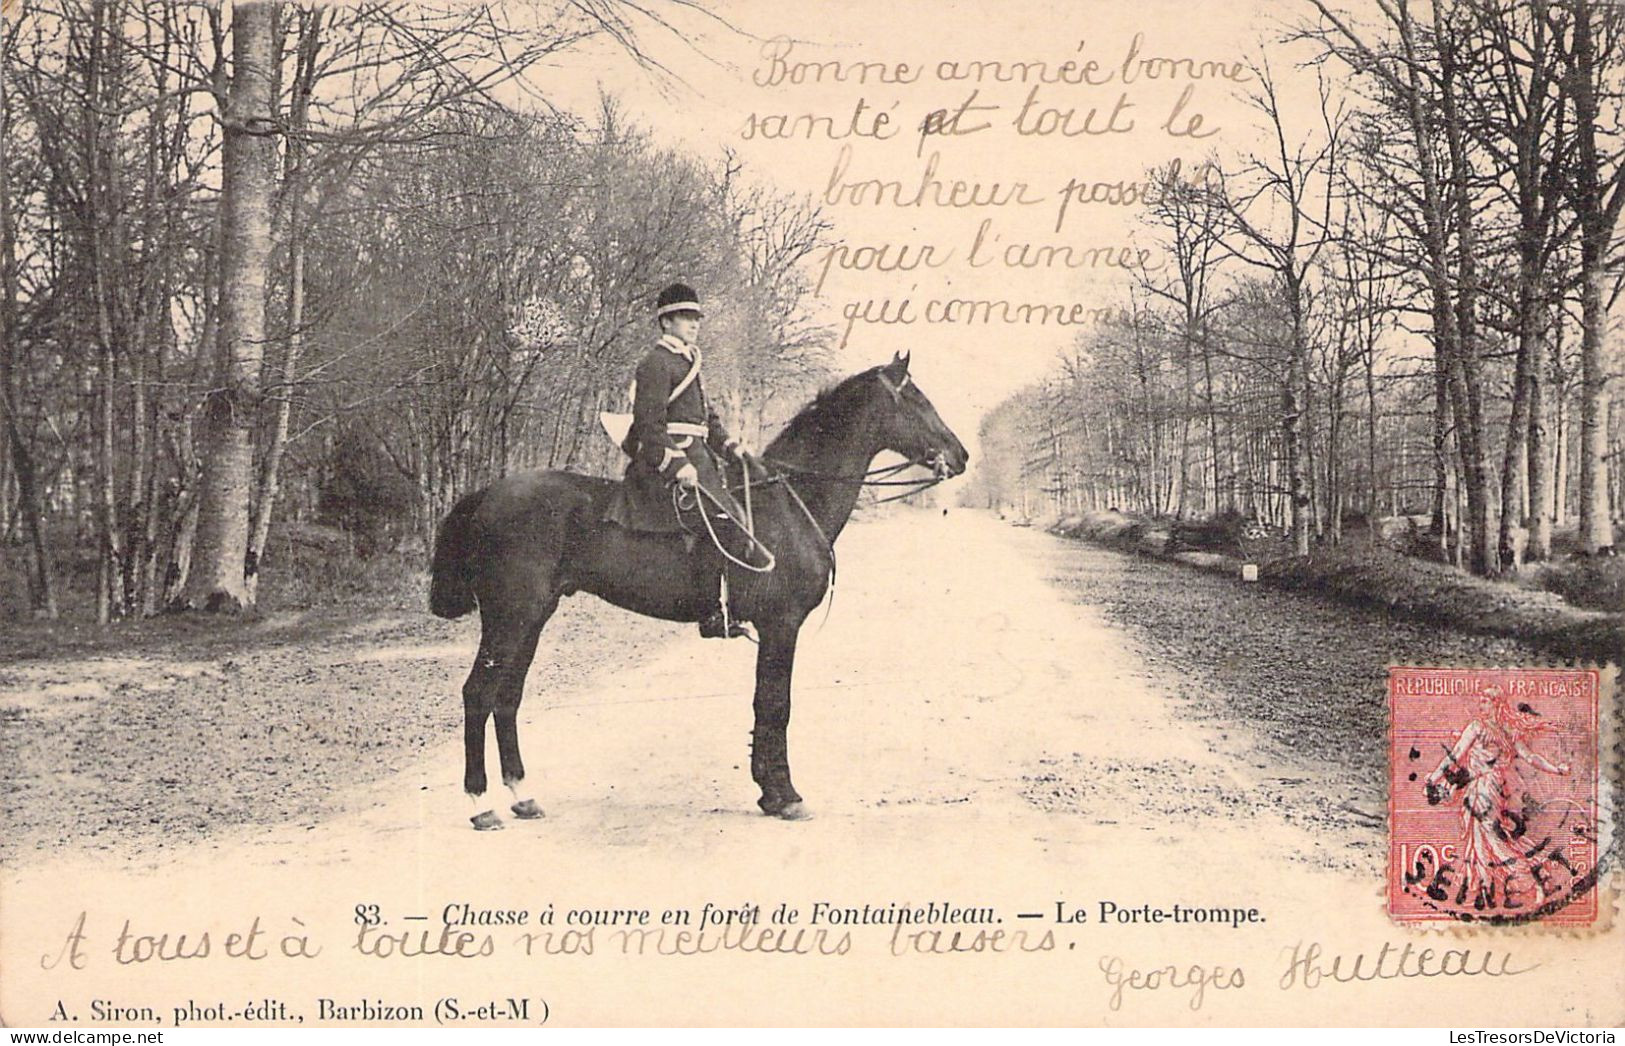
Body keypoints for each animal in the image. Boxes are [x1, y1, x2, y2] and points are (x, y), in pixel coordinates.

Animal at [429, 355, 962, 828]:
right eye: (916, 398)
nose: (960, 455)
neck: (791, 501)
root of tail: (488, 494)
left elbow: (764, 702)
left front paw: (769, 792)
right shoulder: (782, 625)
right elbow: (776, 705)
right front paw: (785, 795)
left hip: (533, 618)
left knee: (507, 697)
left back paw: (523, 795)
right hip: (510, 617)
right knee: (478, 694)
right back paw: (481, 805)